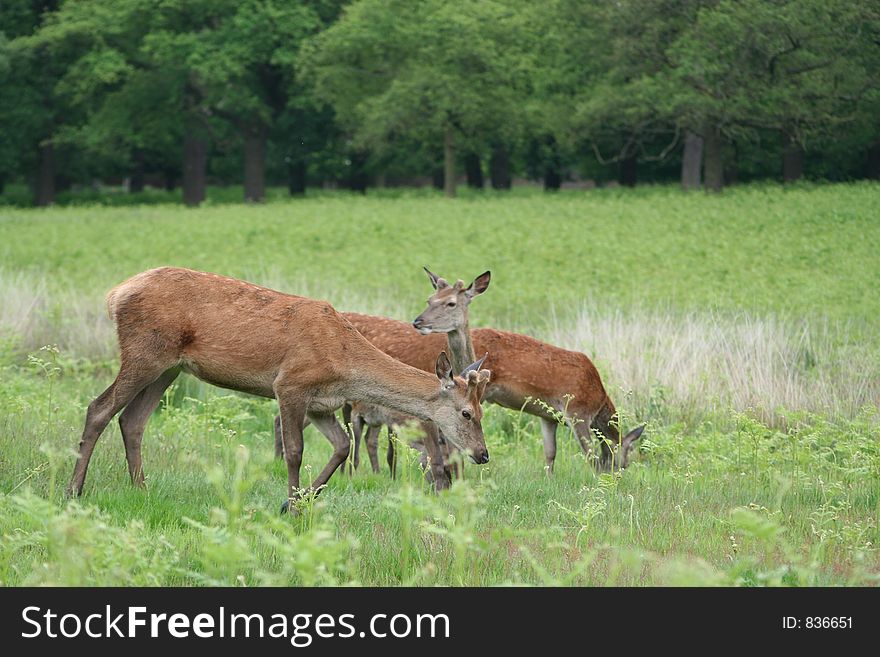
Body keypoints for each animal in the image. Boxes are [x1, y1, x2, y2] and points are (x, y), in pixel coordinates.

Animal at [67, 266, 496, 508]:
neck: (344, 363)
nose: (483, 454)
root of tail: (114, 294)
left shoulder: (322, 403)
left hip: (169, 368)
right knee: (99, 408)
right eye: (466, 413)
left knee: (133, 421)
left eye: (482, 411)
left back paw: (141, 489)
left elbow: (341, 447)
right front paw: (289, 503)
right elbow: (294, 451)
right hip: (144, 352)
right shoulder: (290, 384)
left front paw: (302, 501)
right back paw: (74, 490)